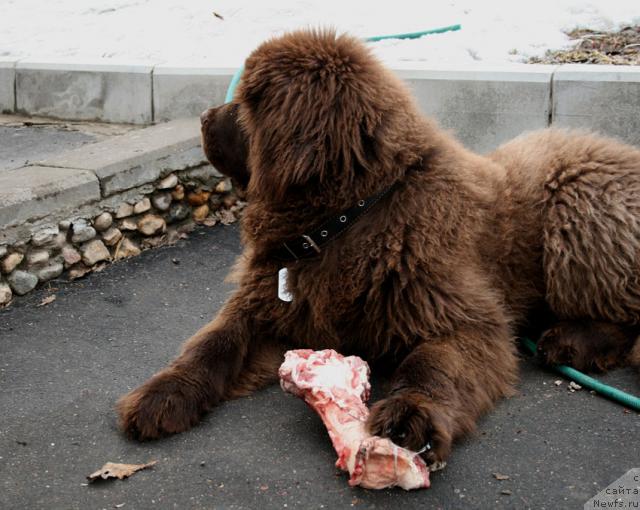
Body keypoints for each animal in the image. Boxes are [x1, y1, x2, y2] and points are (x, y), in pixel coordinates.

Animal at [119, 29, 640, 468]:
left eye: (247, 102)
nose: (204, 118)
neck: (344, 221)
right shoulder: (272, 305)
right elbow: (213, 342)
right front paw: (164, 394)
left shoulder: (465, 319)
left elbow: (432, 364)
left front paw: (411, 416)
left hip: (578, 210)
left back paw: (574, 340)